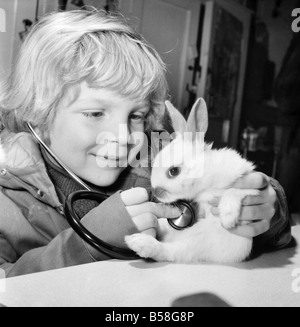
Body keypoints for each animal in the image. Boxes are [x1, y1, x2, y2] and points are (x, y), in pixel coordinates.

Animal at [124, 99, 258, 264]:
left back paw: (139, 242)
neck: (205, 180)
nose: (156, 192)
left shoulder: (248, 182)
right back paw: (136, 240)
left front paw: (227, 218)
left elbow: (234, 191)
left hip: (200, 238)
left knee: (171, 252)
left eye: (174, 171)